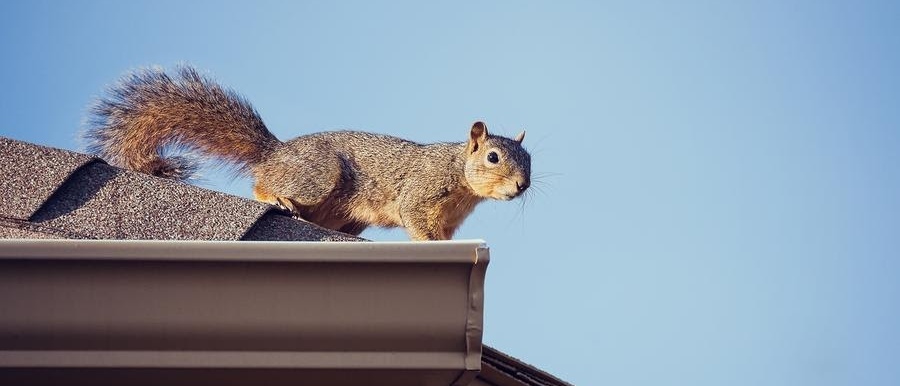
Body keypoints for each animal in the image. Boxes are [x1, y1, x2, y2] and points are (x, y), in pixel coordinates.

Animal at [83, 66, 528, 241]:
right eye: (493, 157)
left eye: (530, 162)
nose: (522, 186)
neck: (460, 175)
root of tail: (276, 152)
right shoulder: (421, 192)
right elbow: (416, 219)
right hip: (318, 175)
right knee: (263, 183)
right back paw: (276, 197)